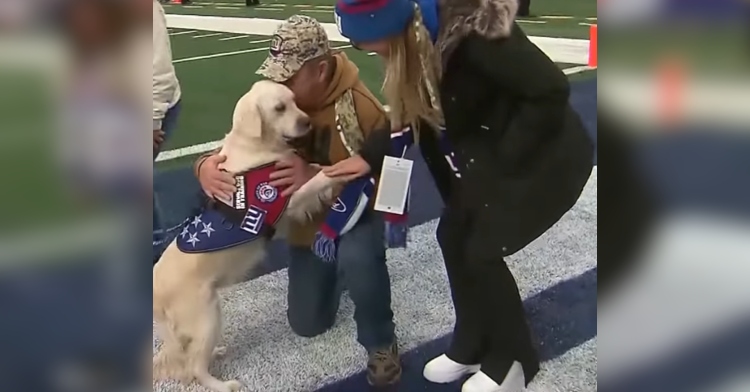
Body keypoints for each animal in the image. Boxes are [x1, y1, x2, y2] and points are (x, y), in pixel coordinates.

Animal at [153, 80, 346, 392]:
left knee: (191, 355)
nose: (306, 121)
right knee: (194, 366)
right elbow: (319, 178)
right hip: (208, 315)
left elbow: (313, 172)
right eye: (279, 108)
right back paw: (223, 384)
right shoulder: (285, 206)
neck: (257, 147)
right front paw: (342, 172)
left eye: (294, 101)